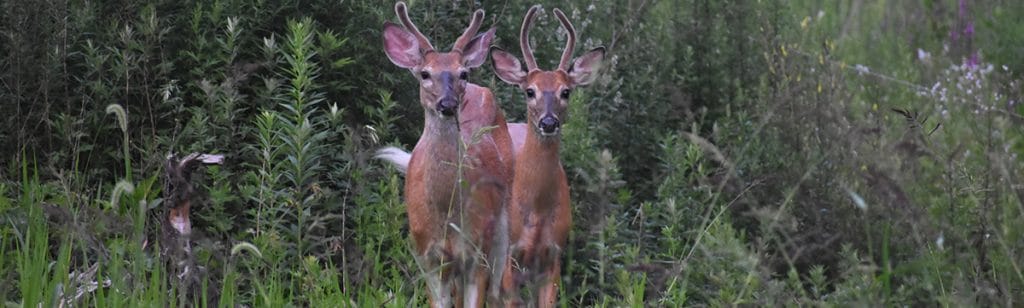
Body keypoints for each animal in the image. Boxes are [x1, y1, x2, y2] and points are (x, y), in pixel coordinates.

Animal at [378, 1, 516, 304]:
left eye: (463, 73)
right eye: (425, 73)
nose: (448, 103)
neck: (446, 210)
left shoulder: (477, 252)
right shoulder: (427, 256)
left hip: (502, 225)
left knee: (498, 290)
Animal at [489, 6, 602, 304]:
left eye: (566, 91)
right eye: (530, 90)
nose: (549, 122)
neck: (537, 212)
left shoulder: (553, 258)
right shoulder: (509, 258)